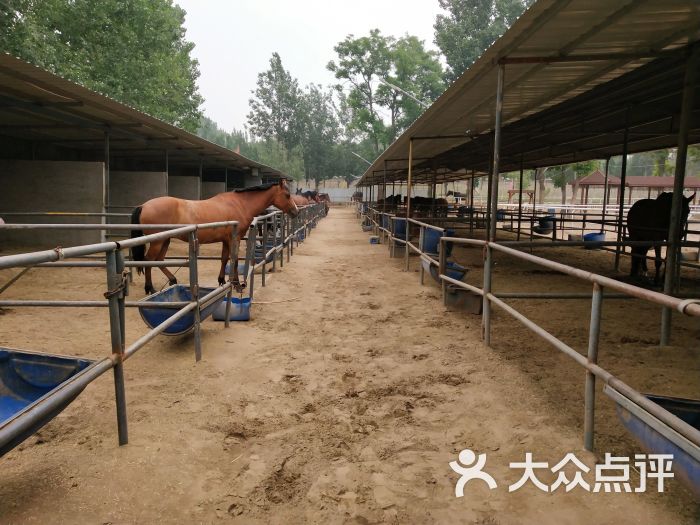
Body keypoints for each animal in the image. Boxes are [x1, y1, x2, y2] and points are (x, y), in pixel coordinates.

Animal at [130, 180, 299, 294]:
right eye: (287, 195)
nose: (296, 211)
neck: (240, 204)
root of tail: (143, 205)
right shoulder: (235, 239)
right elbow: (234, 260)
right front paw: (237, 285)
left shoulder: (226, 240)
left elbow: (224, 259)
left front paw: (222, 281)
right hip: (157, 241)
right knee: (148, 261)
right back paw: (150, 288)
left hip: (165, 240)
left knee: (158, 260)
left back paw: (172, 281)